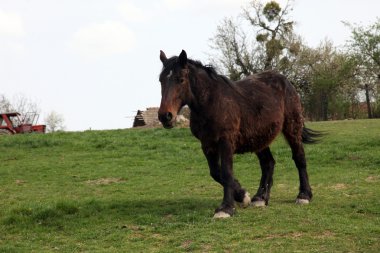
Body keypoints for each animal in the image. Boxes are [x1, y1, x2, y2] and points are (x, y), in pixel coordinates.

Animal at [157, 50, 320, 219]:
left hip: (292, 129)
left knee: (299, 158)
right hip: (259, 139)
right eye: (161, 80)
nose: (165, 116)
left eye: (180, 80)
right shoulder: (207, 144)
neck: (212, 102)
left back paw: (304, 195)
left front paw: (226, 208)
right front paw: (242, 196)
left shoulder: (226, 142)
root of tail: (286, 81)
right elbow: (216, 173)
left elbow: (226, 172)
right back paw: (260, 198)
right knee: (268, 163)